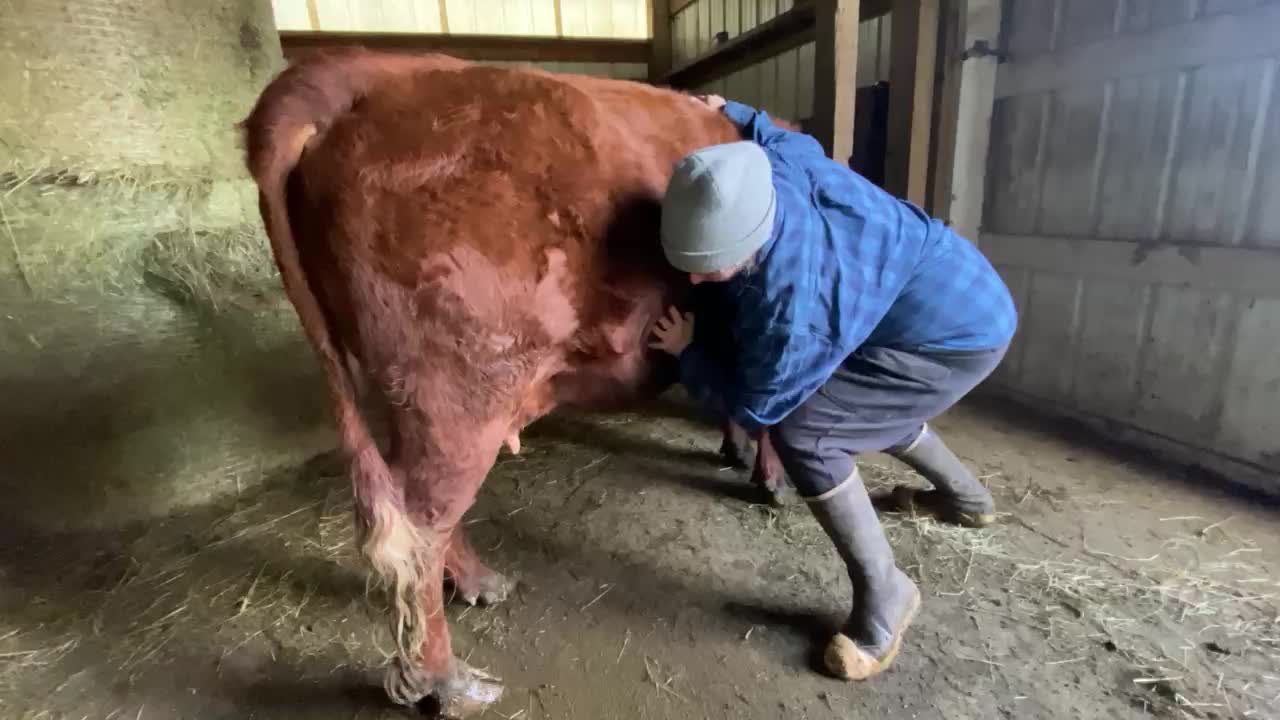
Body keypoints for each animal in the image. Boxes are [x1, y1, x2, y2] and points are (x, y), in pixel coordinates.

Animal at [238, 50, 778, 712]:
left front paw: (736, 446)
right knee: (419, 527)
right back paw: (444, 681)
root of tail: (367, 70)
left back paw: (475, 584)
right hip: (460, 390)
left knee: (416, 505)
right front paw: (766, 474)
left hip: (404, 392)